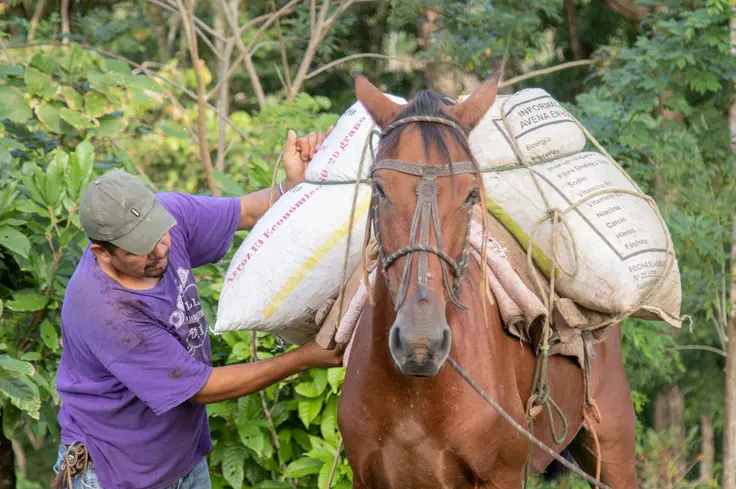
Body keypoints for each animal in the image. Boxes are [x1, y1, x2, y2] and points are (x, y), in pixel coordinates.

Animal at [336, 73, 639, 489]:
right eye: (379, 188)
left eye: (470, 194)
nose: (420, 343)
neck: (415, 395)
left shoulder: (503, 476)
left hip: (611, 444)